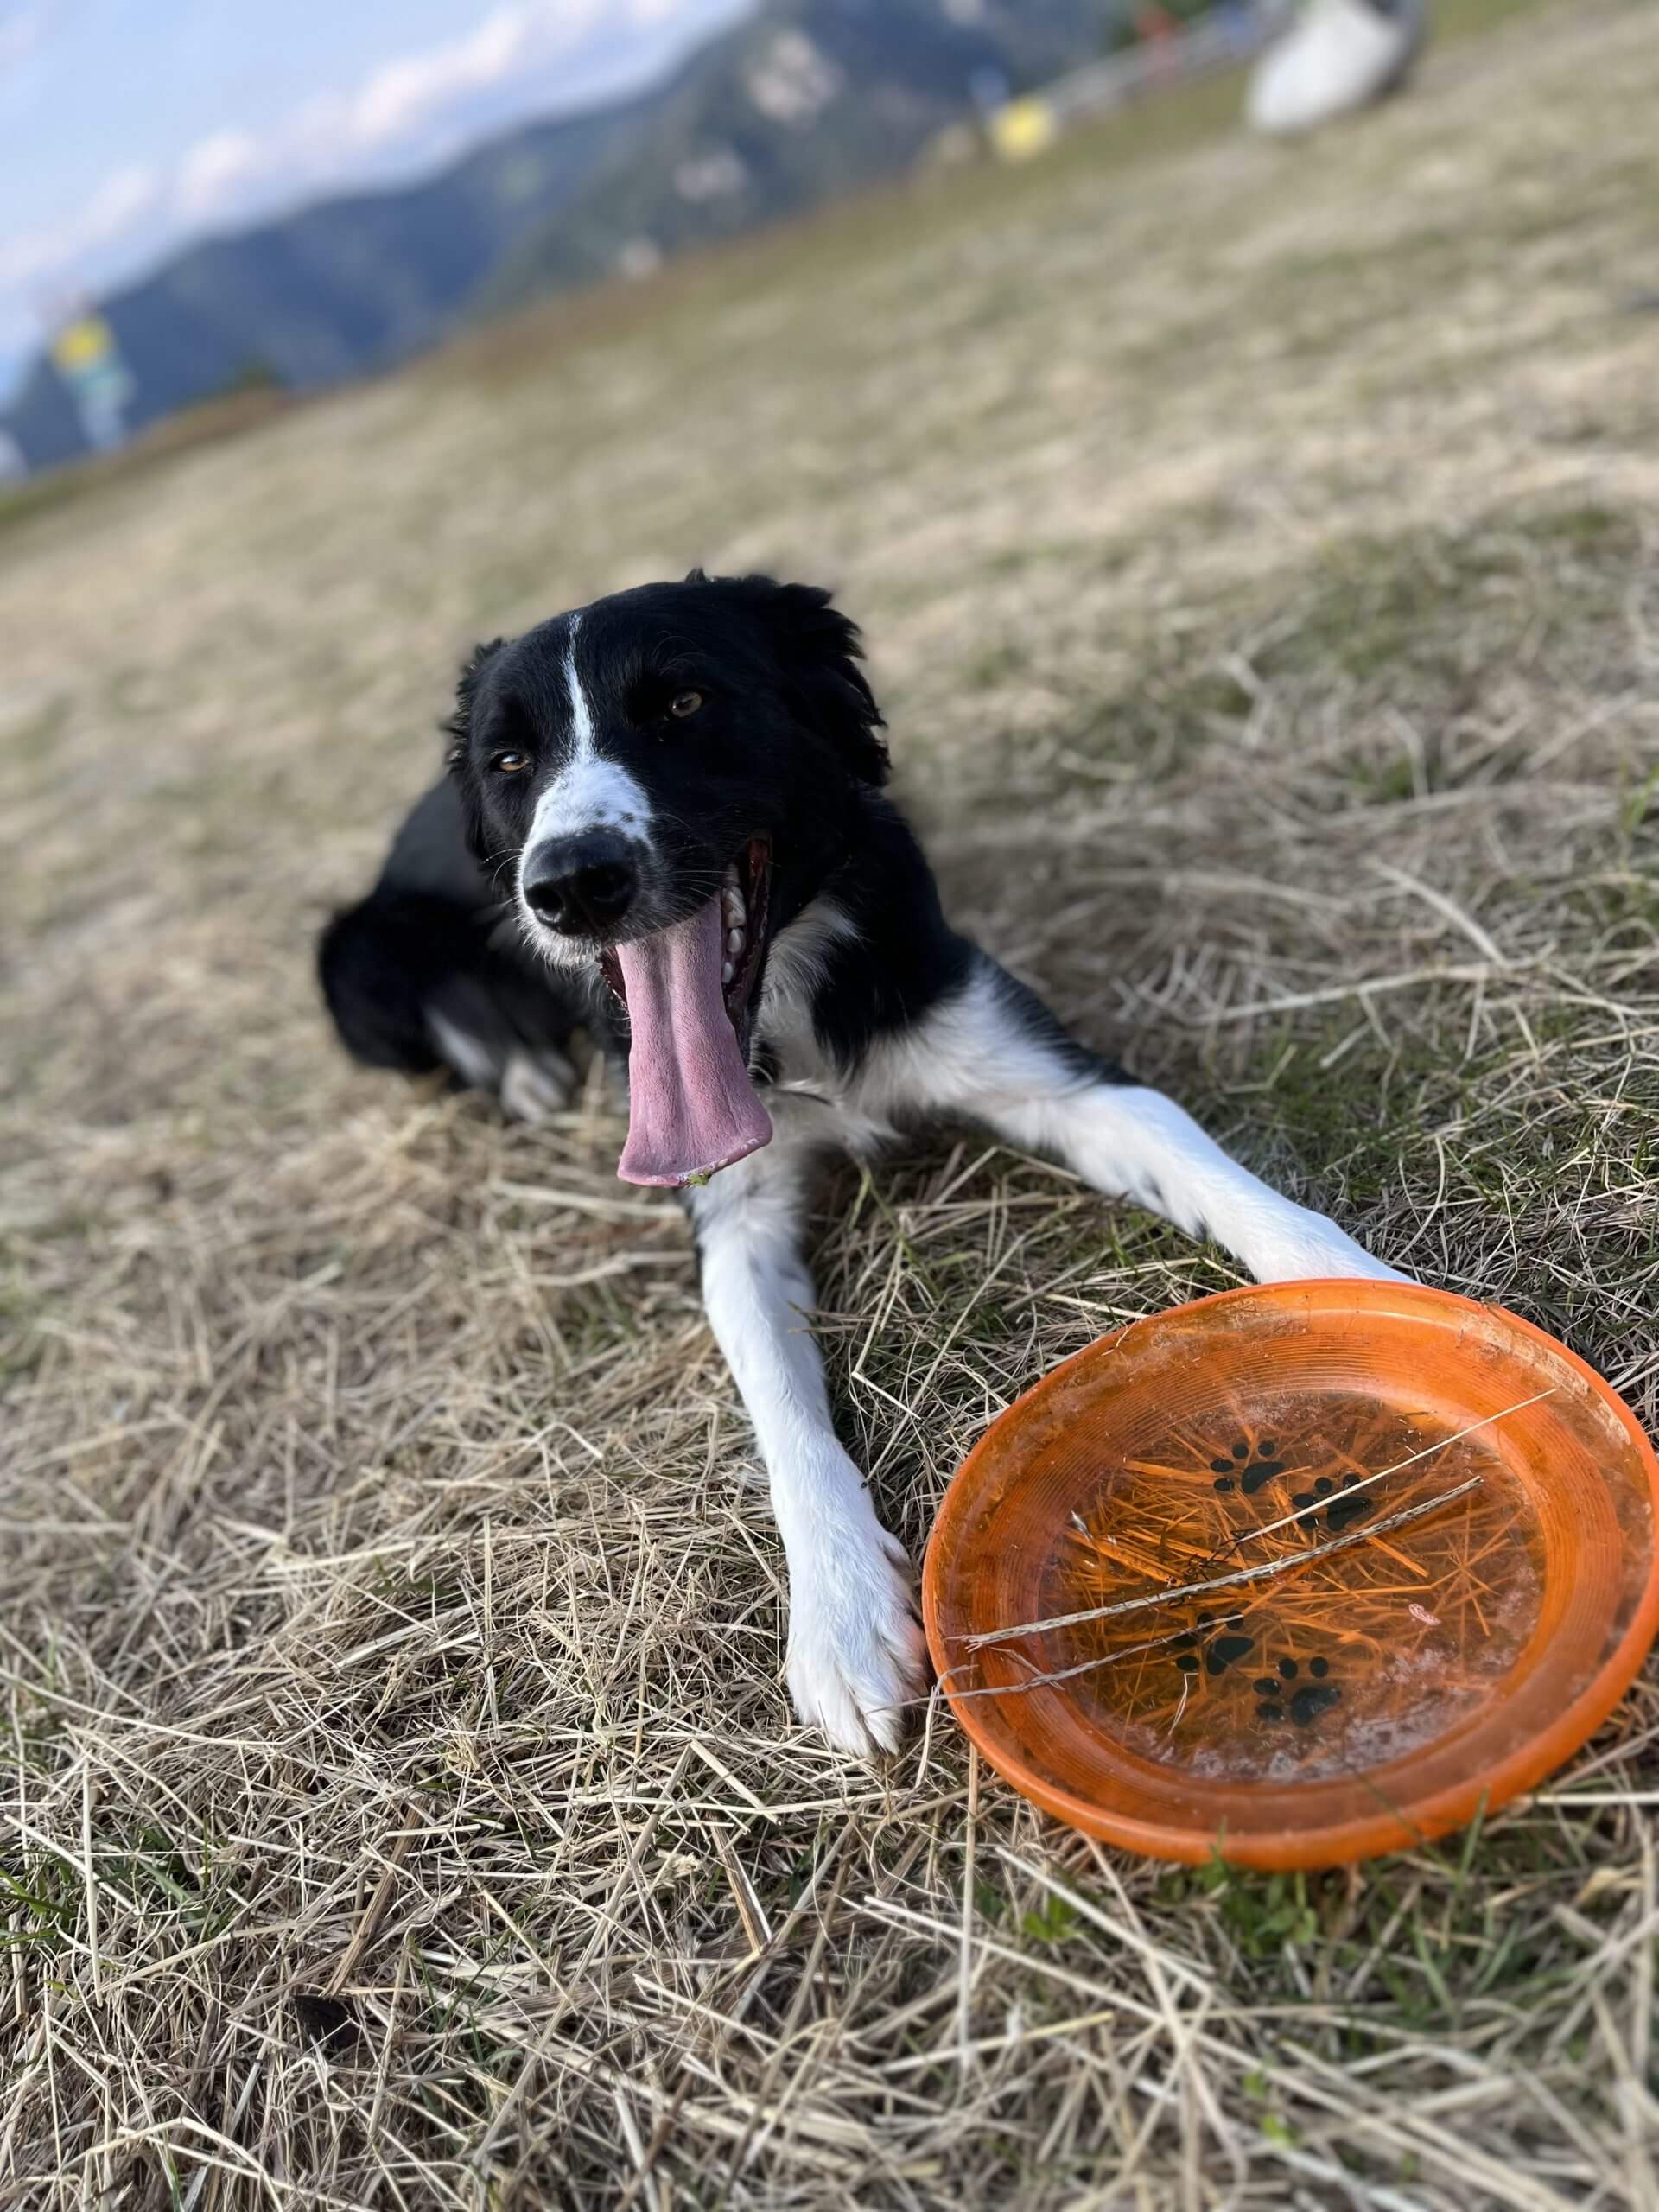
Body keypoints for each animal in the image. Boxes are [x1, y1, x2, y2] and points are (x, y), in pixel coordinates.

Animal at [321, 579, 1407, 1751]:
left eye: (683, 702)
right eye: (513, 760)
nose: (572, 883)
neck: (788, 1009)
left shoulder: (1048, 1072)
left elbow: (1220, 1177)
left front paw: (1371, 1301)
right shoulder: (733, 1219)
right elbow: (783, 1413)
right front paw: (840, 1621)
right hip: (353, 967)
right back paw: (519, 1064)